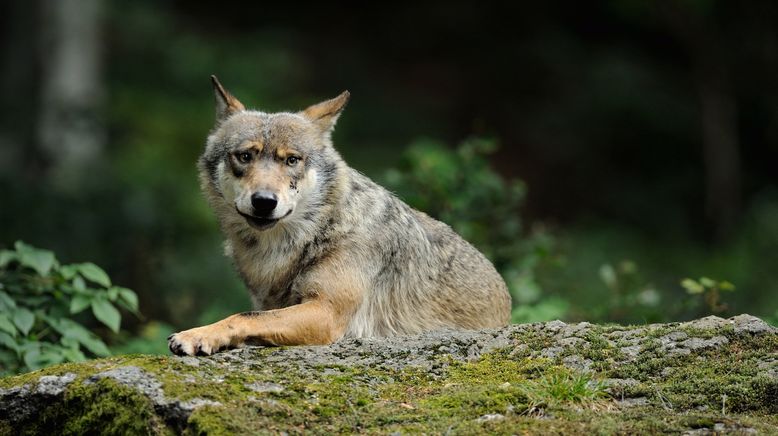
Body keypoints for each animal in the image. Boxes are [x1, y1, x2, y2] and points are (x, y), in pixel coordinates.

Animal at [167, 76, 512, 356]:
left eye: (292, 160)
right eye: (245, 156)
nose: (264, 202)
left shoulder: (326, 313)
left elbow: (243, 316)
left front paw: (196, 335)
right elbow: (252, 316)